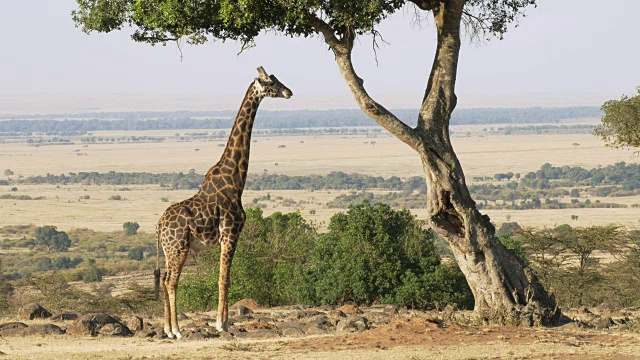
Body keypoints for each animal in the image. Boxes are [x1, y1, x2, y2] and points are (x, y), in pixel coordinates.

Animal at [154, 67, 294, 338]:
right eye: (270, 82)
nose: (289, 92)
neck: (235, 180)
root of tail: (158, 226)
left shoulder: (226, 236)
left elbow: (223, 276)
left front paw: (222, 322)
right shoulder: (231, 232)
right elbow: (224, 277)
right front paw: (222, 324)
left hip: (169, 250)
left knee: (165, 279)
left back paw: (167, 329)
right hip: (179, 247)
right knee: (171, 281)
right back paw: (176, 330)